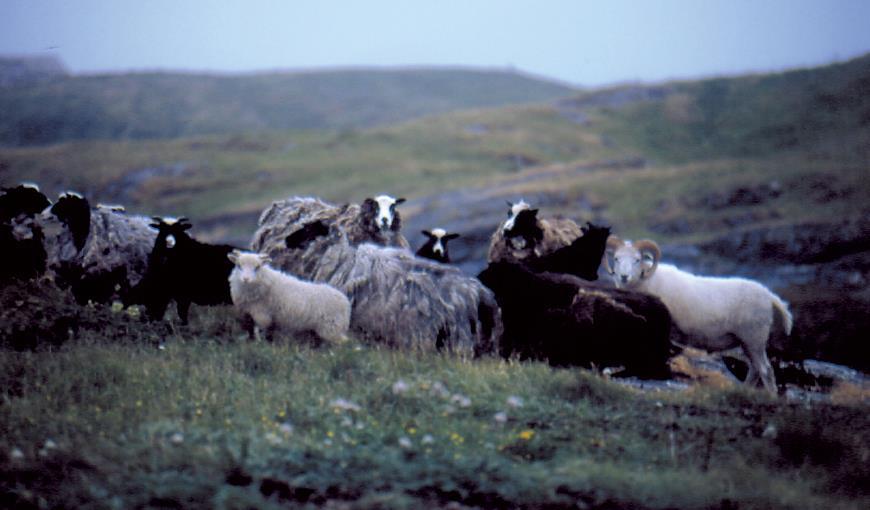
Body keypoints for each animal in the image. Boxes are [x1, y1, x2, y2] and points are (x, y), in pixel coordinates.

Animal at [608, 237, 792, 392]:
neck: (648, 280)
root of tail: (770, 297)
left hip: (754, 339)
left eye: (637, 260)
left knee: (766, 371)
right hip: (747, 343)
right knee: (754, 370)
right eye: (616, 258)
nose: (624, 276)